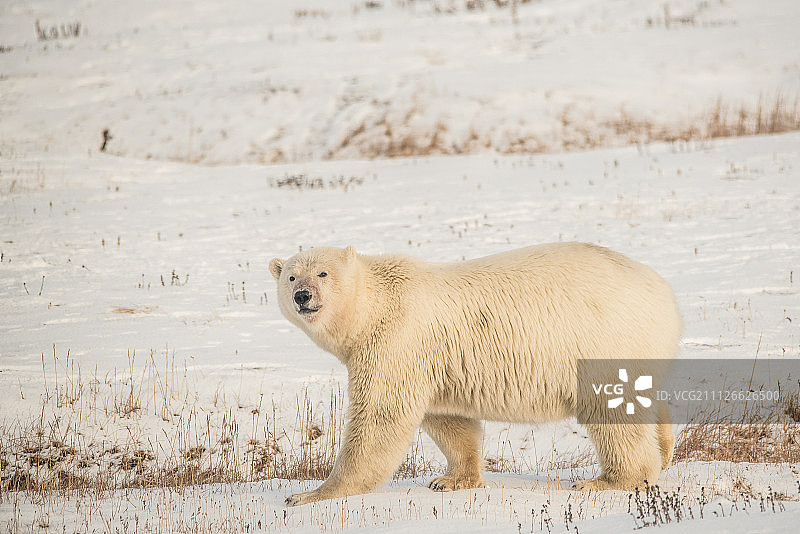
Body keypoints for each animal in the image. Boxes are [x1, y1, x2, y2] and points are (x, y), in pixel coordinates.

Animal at [268, 245, 680, 508]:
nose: (303, 295)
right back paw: (664, 451)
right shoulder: (431, 362)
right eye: (290, 276)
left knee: (612, 413)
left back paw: (610, 480)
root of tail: (665, 292)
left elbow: (379, 418)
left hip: (604, 340)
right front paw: (450, 480)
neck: (376, 306)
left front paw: (308, 494)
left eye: (322, 272)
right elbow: (448, 420)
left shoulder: (396, 342)